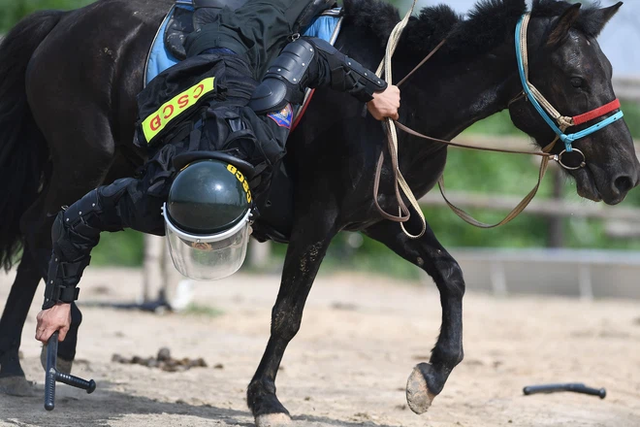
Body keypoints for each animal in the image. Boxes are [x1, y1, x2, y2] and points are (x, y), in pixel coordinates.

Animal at [0, 0, 636, 422]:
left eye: (607, 75)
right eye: (577, 79)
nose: (624, 175)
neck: (402, 96)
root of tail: (65, 22)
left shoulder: (380, 220)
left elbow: (452, 276)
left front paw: (429, 377)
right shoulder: (319, 218)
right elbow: (288, 313)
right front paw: (265, 399)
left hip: (108, 165)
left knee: (47, 233)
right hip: (83, 161)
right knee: (41, 231)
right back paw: (22, 357)